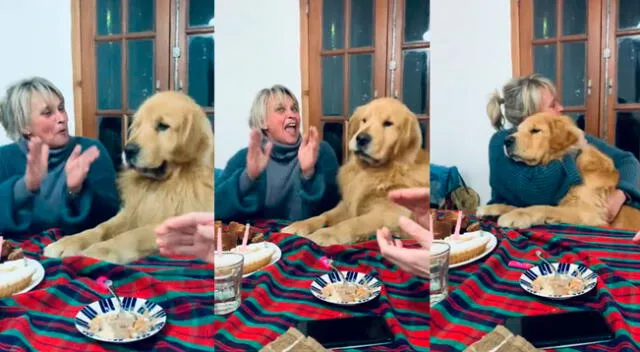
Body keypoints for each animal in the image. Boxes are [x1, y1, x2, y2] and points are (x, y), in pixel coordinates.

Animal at [45, 91, 215, 264]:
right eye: (138, 126)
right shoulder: (131, 212)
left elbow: (133, 235)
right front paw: (68, 242)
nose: (128, 150)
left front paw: (102, 249)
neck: (163, 185)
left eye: (163, 126)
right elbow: (100, 228)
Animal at [282, 96, 428, 245]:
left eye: (388, 123)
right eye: (364, 120)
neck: (370, 171)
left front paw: (325, 234)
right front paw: (300, 225)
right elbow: (324, 215)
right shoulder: (348, 204)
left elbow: (352, 223)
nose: (361, 138)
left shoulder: (390, 213)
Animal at [478, 111, 640, 230]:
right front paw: (492, 209)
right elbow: (516, 204)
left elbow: (542, 207)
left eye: (535, 130)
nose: (506, 141)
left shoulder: (586, 213)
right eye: (518, 130)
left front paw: (516, 215)